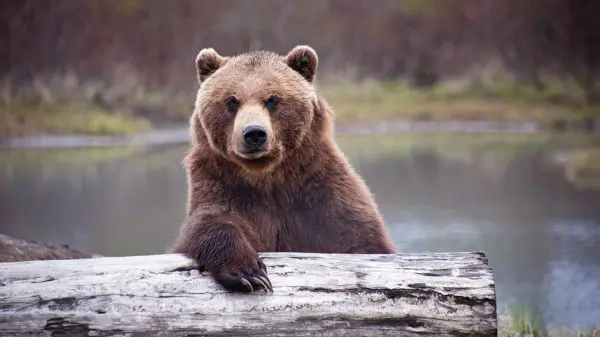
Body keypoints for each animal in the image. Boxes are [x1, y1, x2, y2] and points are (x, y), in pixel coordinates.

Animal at [169, 44, 396, 292]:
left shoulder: (320, 192)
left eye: (273, 100)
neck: (268, 177)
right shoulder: (221, 184)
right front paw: (249, 274)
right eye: (232, 101)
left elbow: (359, 239)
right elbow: (210, 222)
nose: (254, 133)